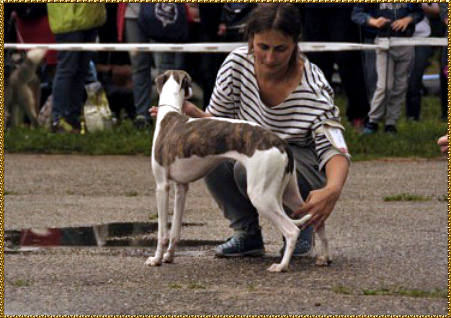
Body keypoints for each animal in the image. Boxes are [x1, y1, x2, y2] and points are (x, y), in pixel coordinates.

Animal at [147, 70, 330, 274]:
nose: (193, 92)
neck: (169, 116)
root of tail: (281, 143)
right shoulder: (181, 188)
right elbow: (175, 231)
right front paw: (169, 256)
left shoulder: (162, 186)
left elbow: (162, 232)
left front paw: (156, 259)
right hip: (289, 193)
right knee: (317, 219)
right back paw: (324, 258)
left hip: (261, 196)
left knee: (292, 230)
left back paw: (281, 266)